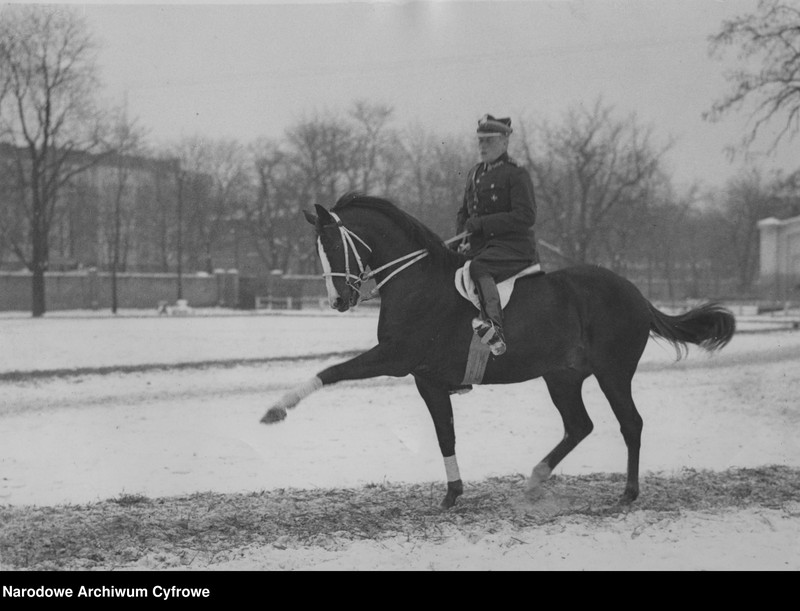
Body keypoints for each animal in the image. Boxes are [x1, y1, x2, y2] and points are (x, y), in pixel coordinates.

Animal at [260, 194, 736, 510]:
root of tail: (635, 293)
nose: (338, 301)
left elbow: (334, 370)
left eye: (333, 244)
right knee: (579, 426)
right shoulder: (426, 379)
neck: (415, 281)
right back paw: (535, 480)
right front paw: (453, 493)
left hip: (612, 373)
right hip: (562, 376)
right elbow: (445, 434)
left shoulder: (395, 358)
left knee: (630, 424)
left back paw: (628, 493)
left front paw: (277, 409)